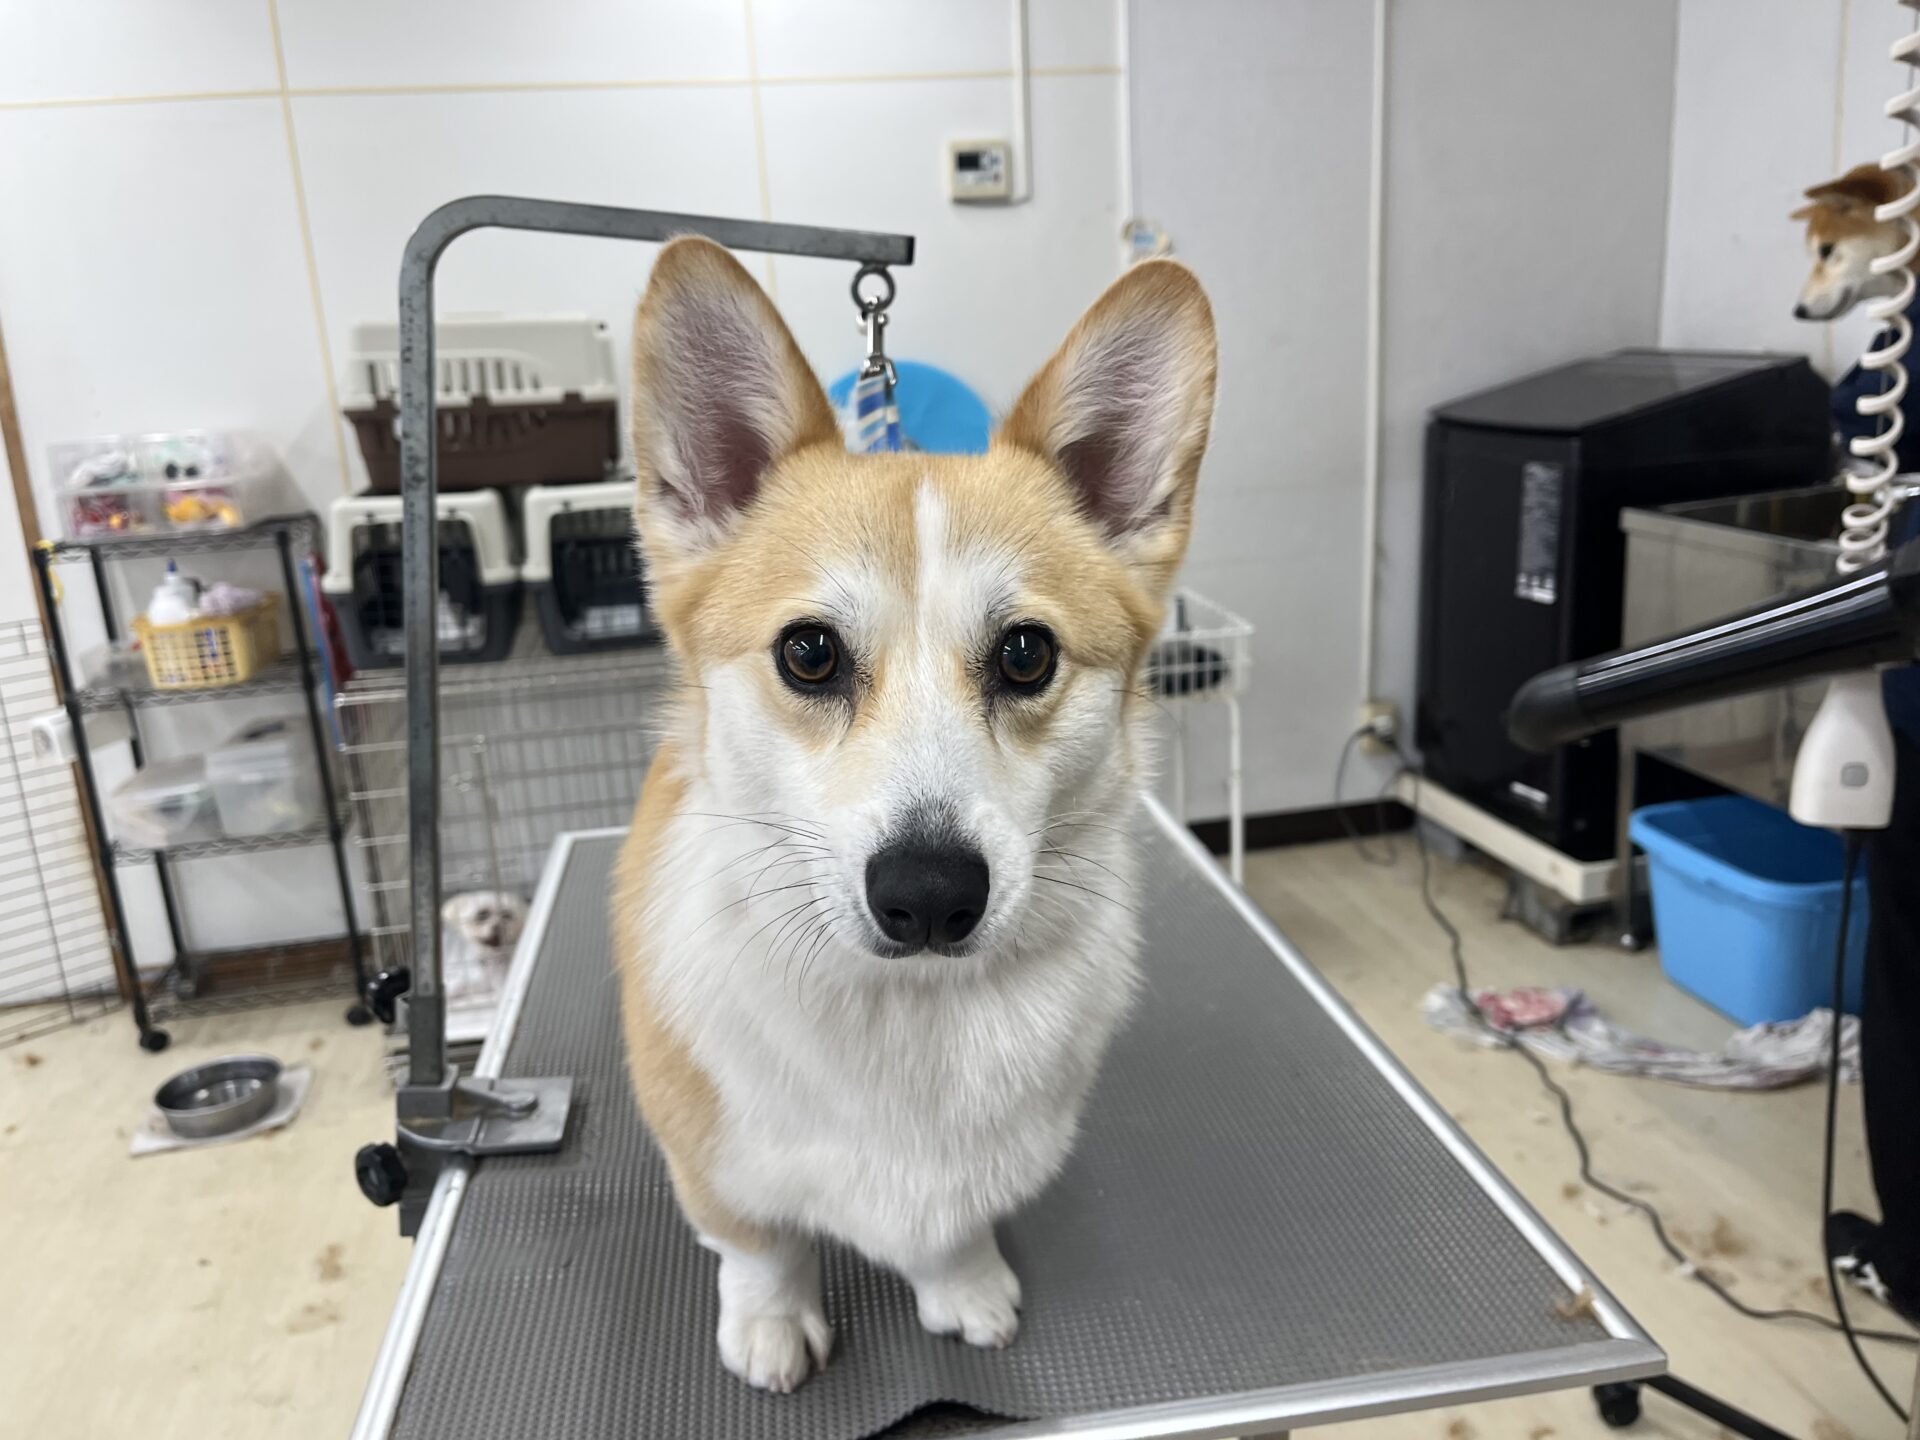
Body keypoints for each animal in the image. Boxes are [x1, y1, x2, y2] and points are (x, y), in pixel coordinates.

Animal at [611, 237, 1216, 1392]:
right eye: (809, 652)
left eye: (1026, 654)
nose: (929, 897)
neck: (909, 1013)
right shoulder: (713, 1154)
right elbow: (758, 1244)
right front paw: (771, 1322)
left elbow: (952, 1230)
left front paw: (965, 1288)